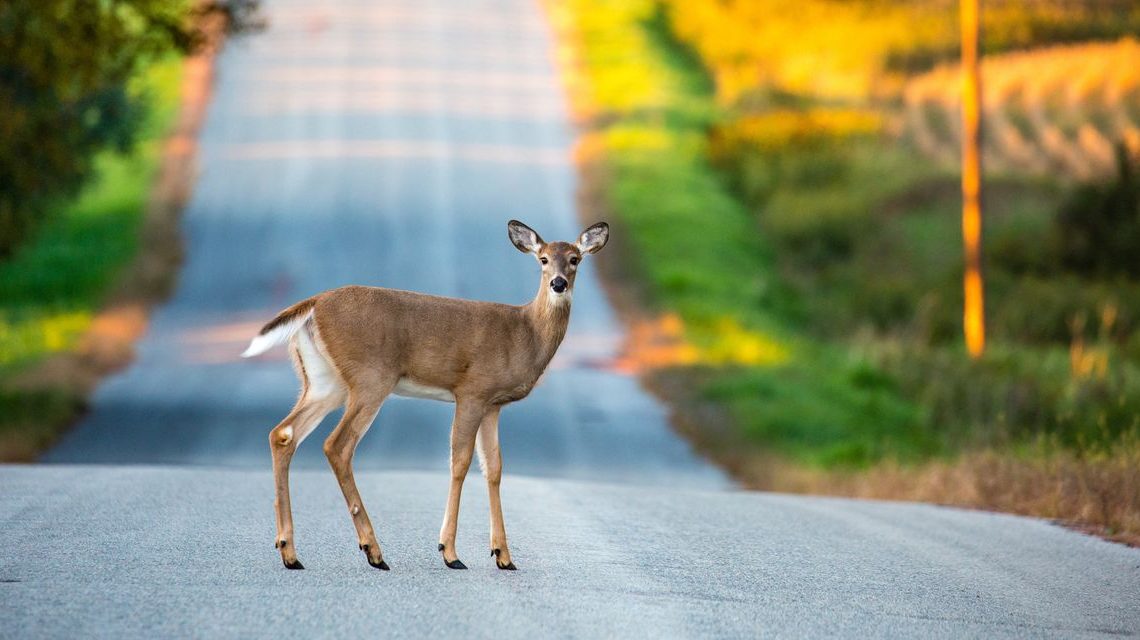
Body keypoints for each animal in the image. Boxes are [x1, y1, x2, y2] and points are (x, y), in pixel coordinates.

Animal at [241, 219, 609, 571]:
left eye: (575, 259)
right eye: (543, 259)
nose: (558, 284)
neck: (525, 333)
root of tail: (314, 304)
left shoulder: (494, 405)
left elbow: (494, 467)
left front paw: (504, 556)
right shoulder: (472, 390)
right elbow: (460, 462)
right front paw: (450, 552)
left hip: (323, 381)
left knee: (283, 434)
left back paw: (290, 553)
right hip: (371, 378)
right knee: (337, 445)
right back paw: (373, 551)